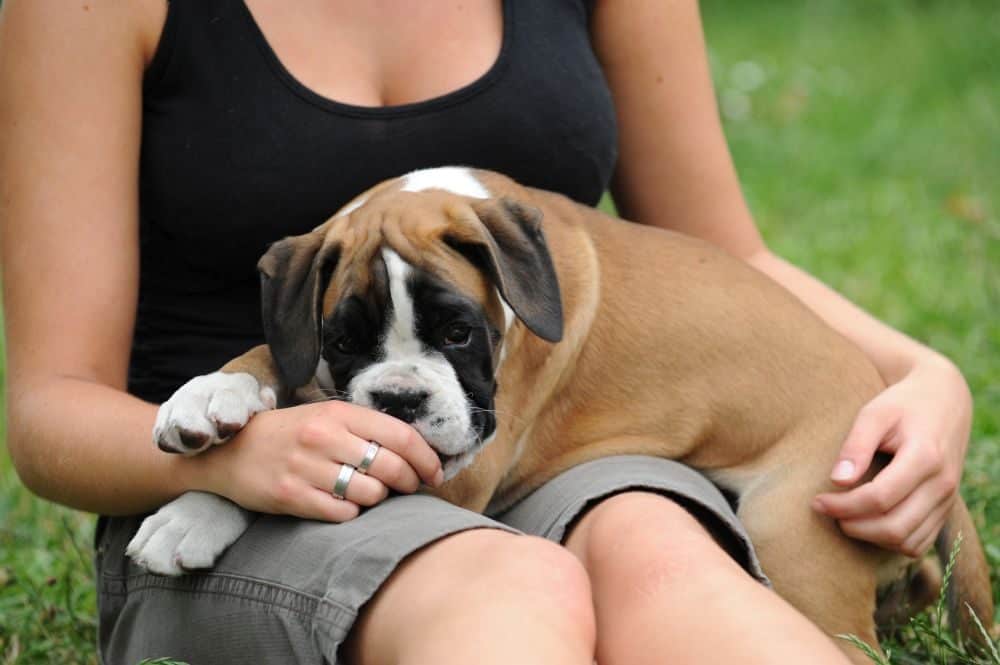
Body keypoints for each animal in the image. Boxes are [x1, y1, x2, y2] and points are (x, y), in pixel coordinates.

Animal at [127, 167, 992, 660]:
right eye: (344, 340)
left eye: (458, 332)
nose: (401, 401)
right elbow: (282, 359)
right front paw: (211, 395)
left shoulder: (455, 467)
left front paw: (193, 513)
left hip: (797, 546)